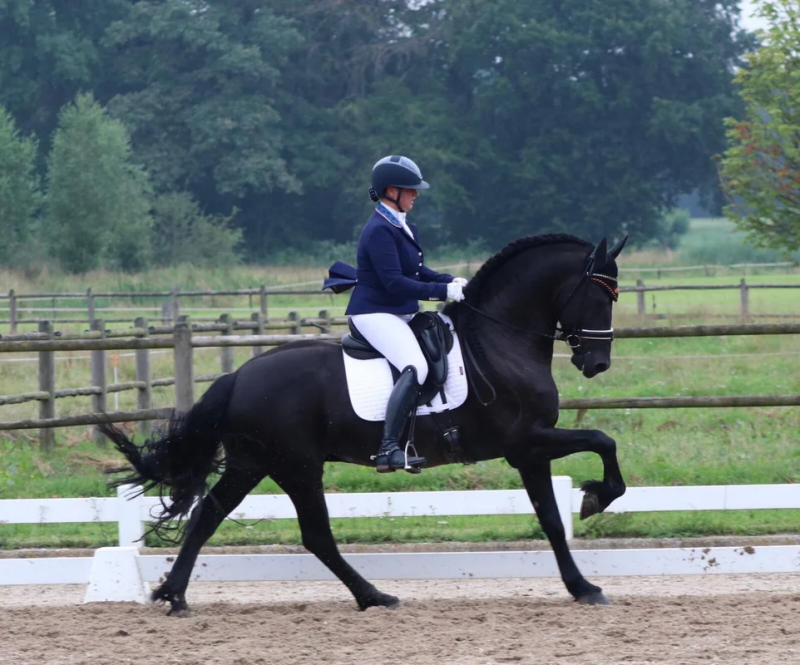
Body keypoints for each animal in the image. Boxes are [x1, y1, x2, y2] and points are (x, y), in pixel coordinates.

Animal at [101, 232, 628, 615]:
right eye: (599, 297)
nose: (598, 363)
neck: (499, 342)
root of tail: (238, 377)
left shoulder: (529, 450)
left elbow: (556, 514)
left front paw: (583, 579)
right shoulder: (527, 442)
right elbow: (600, 444)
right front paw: (595, 505)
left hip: (253, 463)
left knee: (209, 514)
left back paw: (174, 595)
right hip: (295, 466)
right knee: (314, 535)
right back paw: (374, 596)